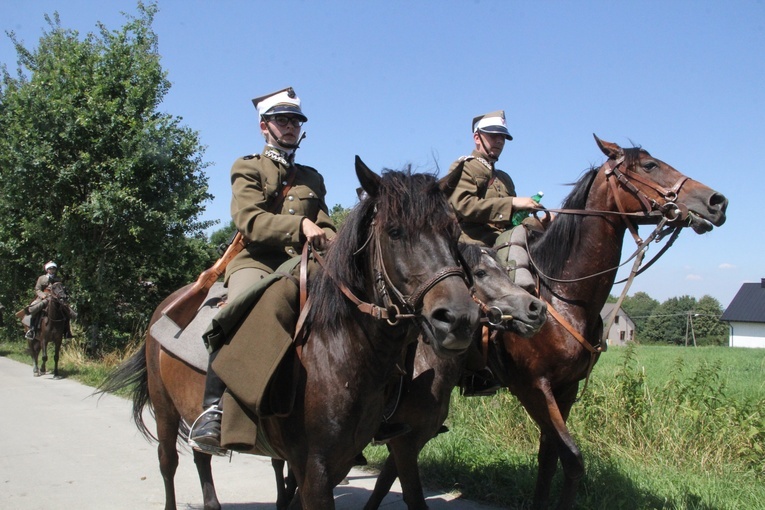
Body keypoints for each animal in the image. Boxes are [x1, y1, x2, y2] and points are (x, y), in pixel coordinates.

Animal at [95, 157, 478, 510]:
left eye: (452, 230)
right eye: (394, 231)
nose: (458, 319)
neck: (337, 349)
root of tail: (166, 305)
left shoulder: (339, 461)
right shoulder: (315, 467)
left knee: (200, 457)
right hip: (165, 410)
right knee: (168, 464)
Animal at [364, 135, 728, 510]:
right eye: (649, 165)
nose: (717, 201)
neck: (563, 295)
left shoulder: (565, 389)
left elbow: (549, 458)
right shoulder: (533, 386)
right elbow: (572, 459)